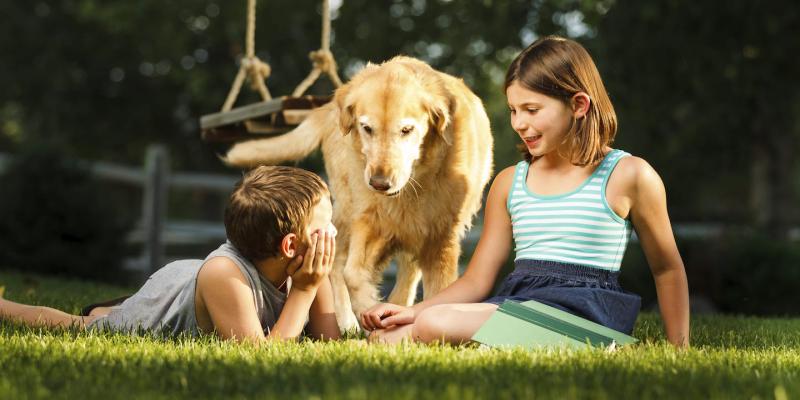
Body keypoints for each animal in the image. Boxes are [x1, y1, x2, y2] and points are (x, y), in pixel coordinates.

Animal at [222, 57, 490, 332]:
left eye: (407, 130)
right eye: (367, 128)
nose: (379, 183)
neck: (413, 186)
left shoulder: (441, 236)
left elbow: (439, 291)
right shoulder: (368, 219)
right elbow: (352, 273)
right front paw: (369, 307)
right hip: (345, 207)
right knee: (338, 260)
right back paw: (347, 320)